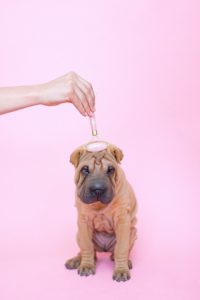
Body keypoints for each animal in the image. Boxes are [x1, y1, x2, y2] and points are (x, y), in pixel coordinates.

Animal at [65, 142, 137, 282]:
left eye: (110, 170)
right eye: (85, 169)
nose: (98, 189)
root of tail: (104, 248)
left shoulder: (122, 221)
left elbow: (121, 248)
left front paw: (121, 270)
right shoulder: (84, 222)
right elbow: (87, 247)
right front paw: (86, 265)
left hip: (132, 233)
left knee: (118, 251)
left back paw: (124, 261)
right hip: (78, 235)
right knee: (89, 252)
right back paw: (76, 260)